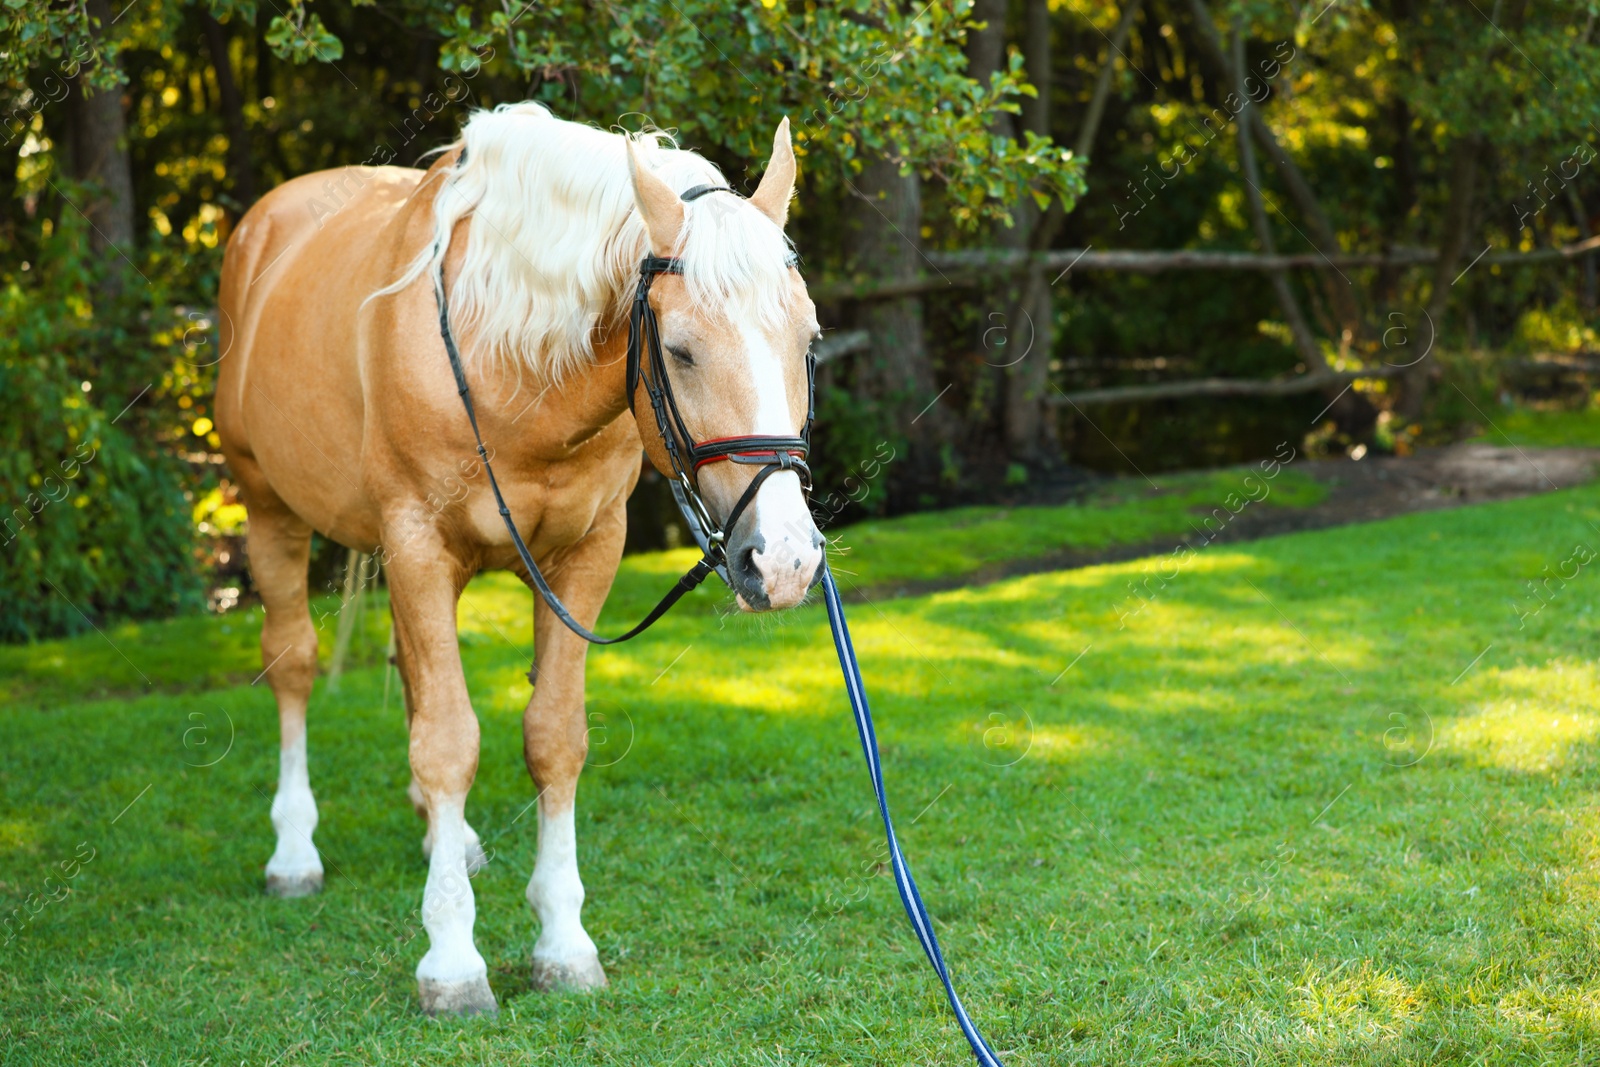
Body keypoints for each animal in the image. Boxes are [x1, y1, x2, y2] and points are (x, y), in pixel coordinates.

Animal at [216, 103, 825, 1017]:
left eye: (809, 338)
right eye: (680, 349)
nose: (784, 560)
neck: (511, 364)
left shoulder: (587, 553)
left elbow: (552, 737)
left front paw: (563, 939)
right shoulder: (416, 544)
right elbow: (447, 743)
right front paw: (451, 958)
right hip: (268, 510)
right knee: (292, 665)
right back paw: (295, 852)